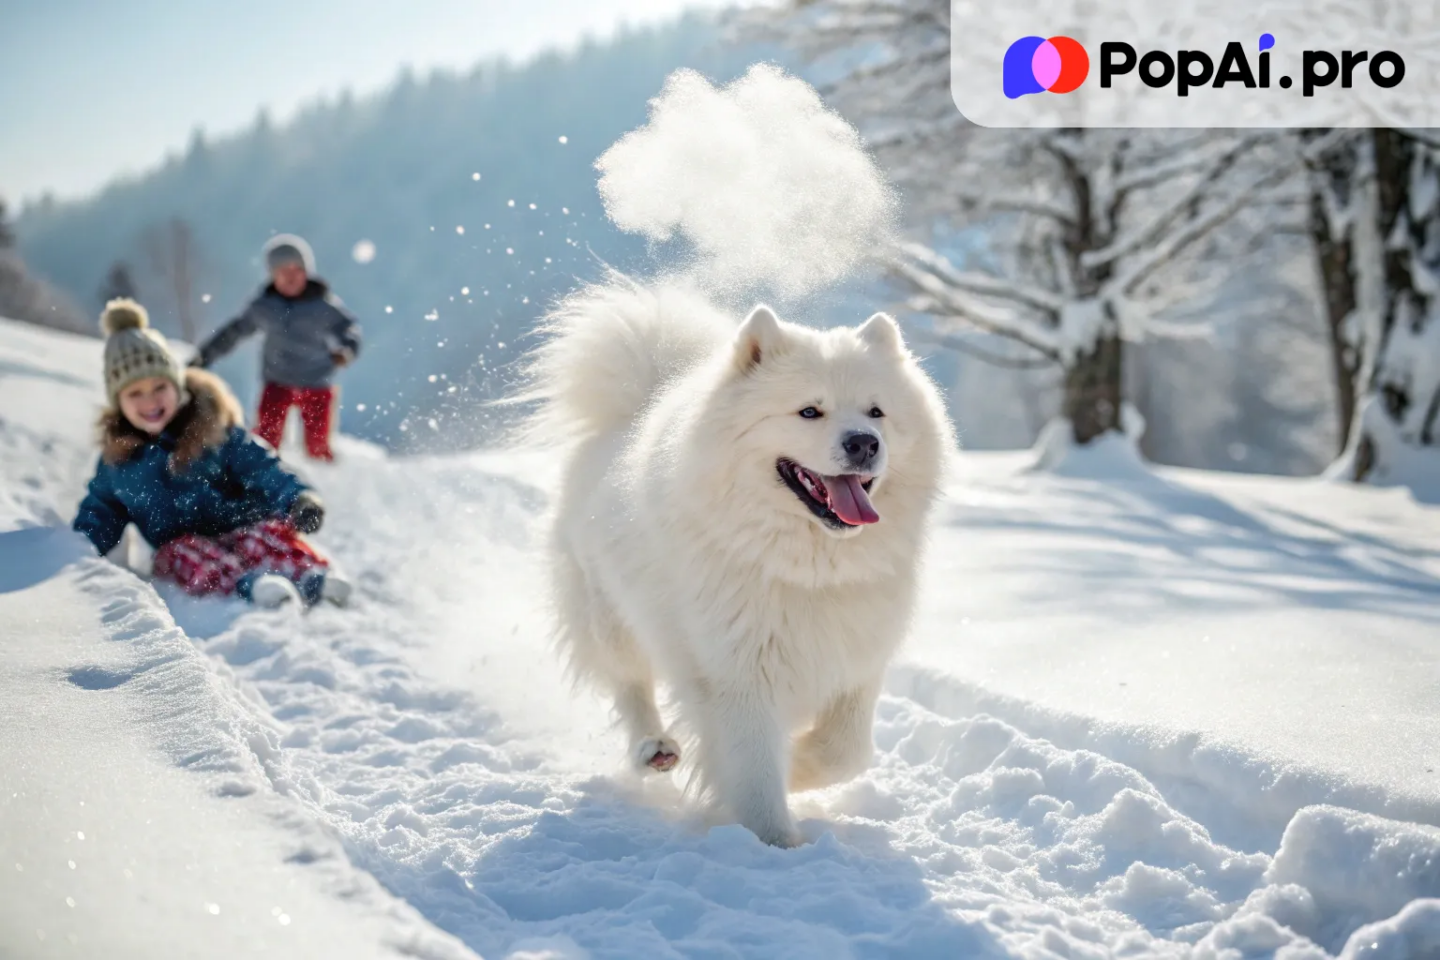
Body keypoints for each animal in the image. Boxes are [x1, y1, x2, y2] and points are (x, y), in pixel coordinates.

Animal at [521, 273, 956, 846]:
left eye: (876, 412)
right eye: (809, 411)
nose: (864, 443)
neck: (806, 567)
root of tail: (634, 408)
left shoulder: (857, 657)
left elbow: (846, 751)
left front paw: (798, 769)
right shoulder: (740, 672)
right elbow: (754, 771)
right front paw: (777, 844)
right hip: (607, 613)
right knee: (629, 684)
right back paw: (653, 748)